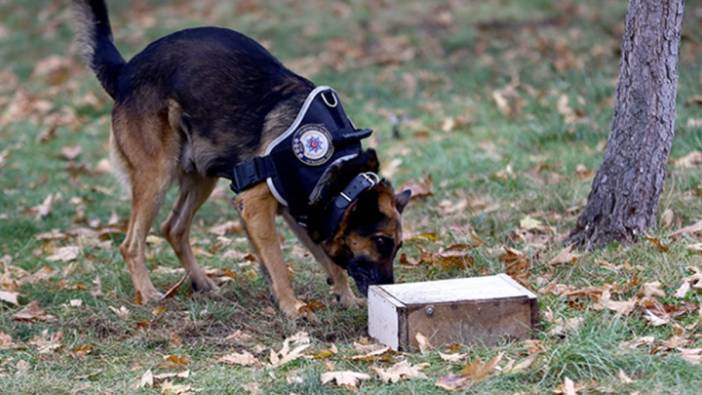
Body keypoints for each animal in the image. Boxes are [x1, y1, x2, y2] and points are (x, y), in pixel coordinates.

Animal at [70, 0, 412, 322]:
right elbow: (278, 262)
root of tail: (124, 71)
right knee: (131, 244)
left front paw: (344, 298)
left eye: (397, 247)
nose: (387, 288)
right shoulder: (256, 206)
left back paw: (201, 282)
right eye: (381, 242)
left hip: (202, 174)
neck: (338, 173)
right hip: (157, 175)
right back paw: (148, 293)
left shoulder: (300, 210)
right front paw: (293, 307)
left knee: (173, 228)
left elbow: (326, 260)